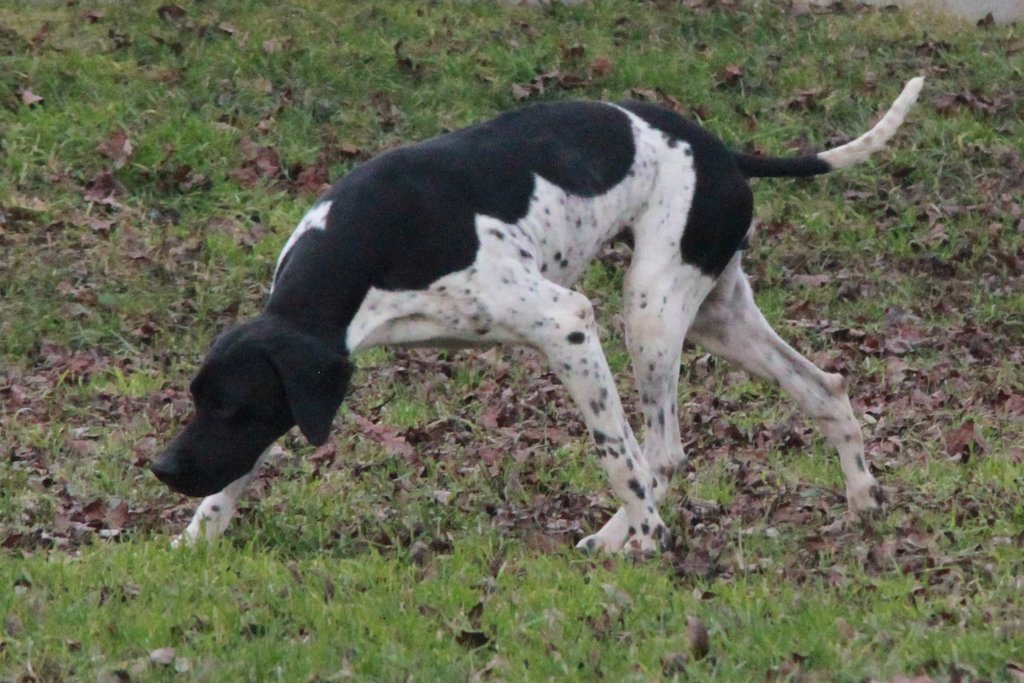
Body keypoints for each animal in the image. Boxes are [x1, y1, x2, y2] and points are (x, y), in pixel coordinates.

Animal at [152, 77, 924, 554]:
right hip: (715, 316)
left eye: (231, 405)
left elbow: (617, 455)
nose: (162, 468)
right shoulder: (307, 380)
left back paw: (625, 538)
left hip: (647, 314)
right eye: (203, 401)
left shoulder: (567, 325)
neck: (366, 247)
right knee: (825, 387)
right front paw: (200, 533)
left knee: (660, 450)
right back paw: (862, 498)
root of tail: (723, 152)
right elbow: (241, 468)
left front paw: (649, 540)